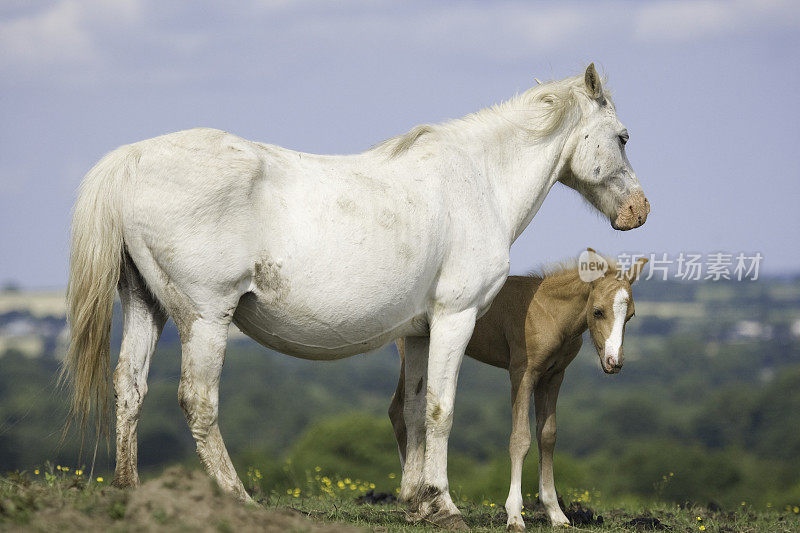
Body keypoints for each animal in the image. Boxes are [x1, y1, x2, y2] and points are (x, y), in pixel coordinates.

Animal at [64, 64, 648, 524]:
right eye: (622, 137)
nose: (639, 211)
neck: (478, 180)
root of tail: (131, 160)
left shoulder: (419, 332)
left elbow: (412, 409)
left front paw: (418, 502)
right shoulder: (454, 318)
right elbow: (441, 409)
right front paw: (445, 506)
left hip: (146, 306)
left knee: (130, 387)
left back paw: (130, 490)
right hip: (206, 319)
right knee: (199, 401)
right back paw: (237, 498)